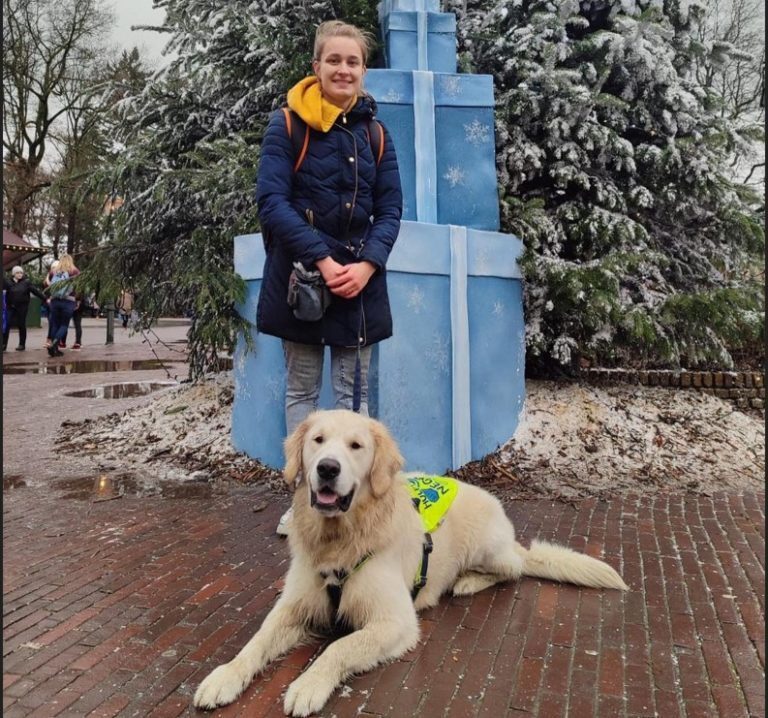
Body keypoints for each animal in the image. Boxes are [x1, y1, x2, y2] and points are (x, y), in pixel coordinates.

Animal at [192, 408, 624, 716]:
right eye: (318, 440)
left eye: (355, 446)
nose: (327, 468)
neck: (340, 540)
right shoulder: (295, 605)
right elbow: (256, 641)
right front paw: (224, 677)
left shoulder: (395, 621)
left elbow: (339, 647)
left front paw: (308, 685)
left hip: (487, 546)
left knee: (512, 568)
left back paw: (467, 580)